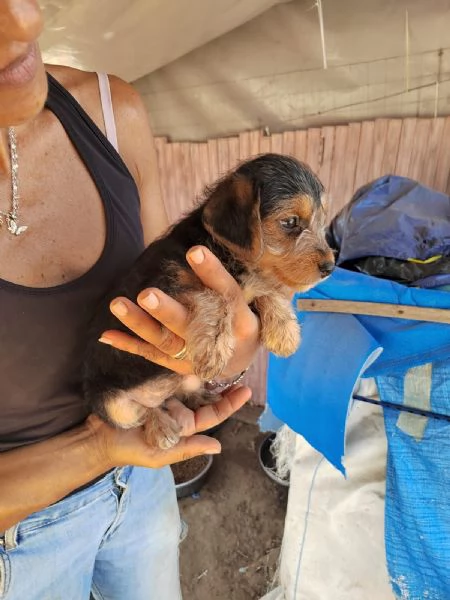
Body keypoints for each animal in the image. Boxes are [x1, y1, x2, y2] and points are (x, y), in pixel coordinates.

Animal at [82, 152, 334, 448]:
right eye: (291, 222)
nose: (330, 266)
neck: (223, 251)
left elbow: (264, 288)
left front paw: (284, 331)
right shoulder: (164, 285)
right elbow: (214, 295)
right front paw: (213, 347)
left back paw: (200, 396)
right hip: (114, 405)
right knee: (144, 412)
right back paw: (161, 428)